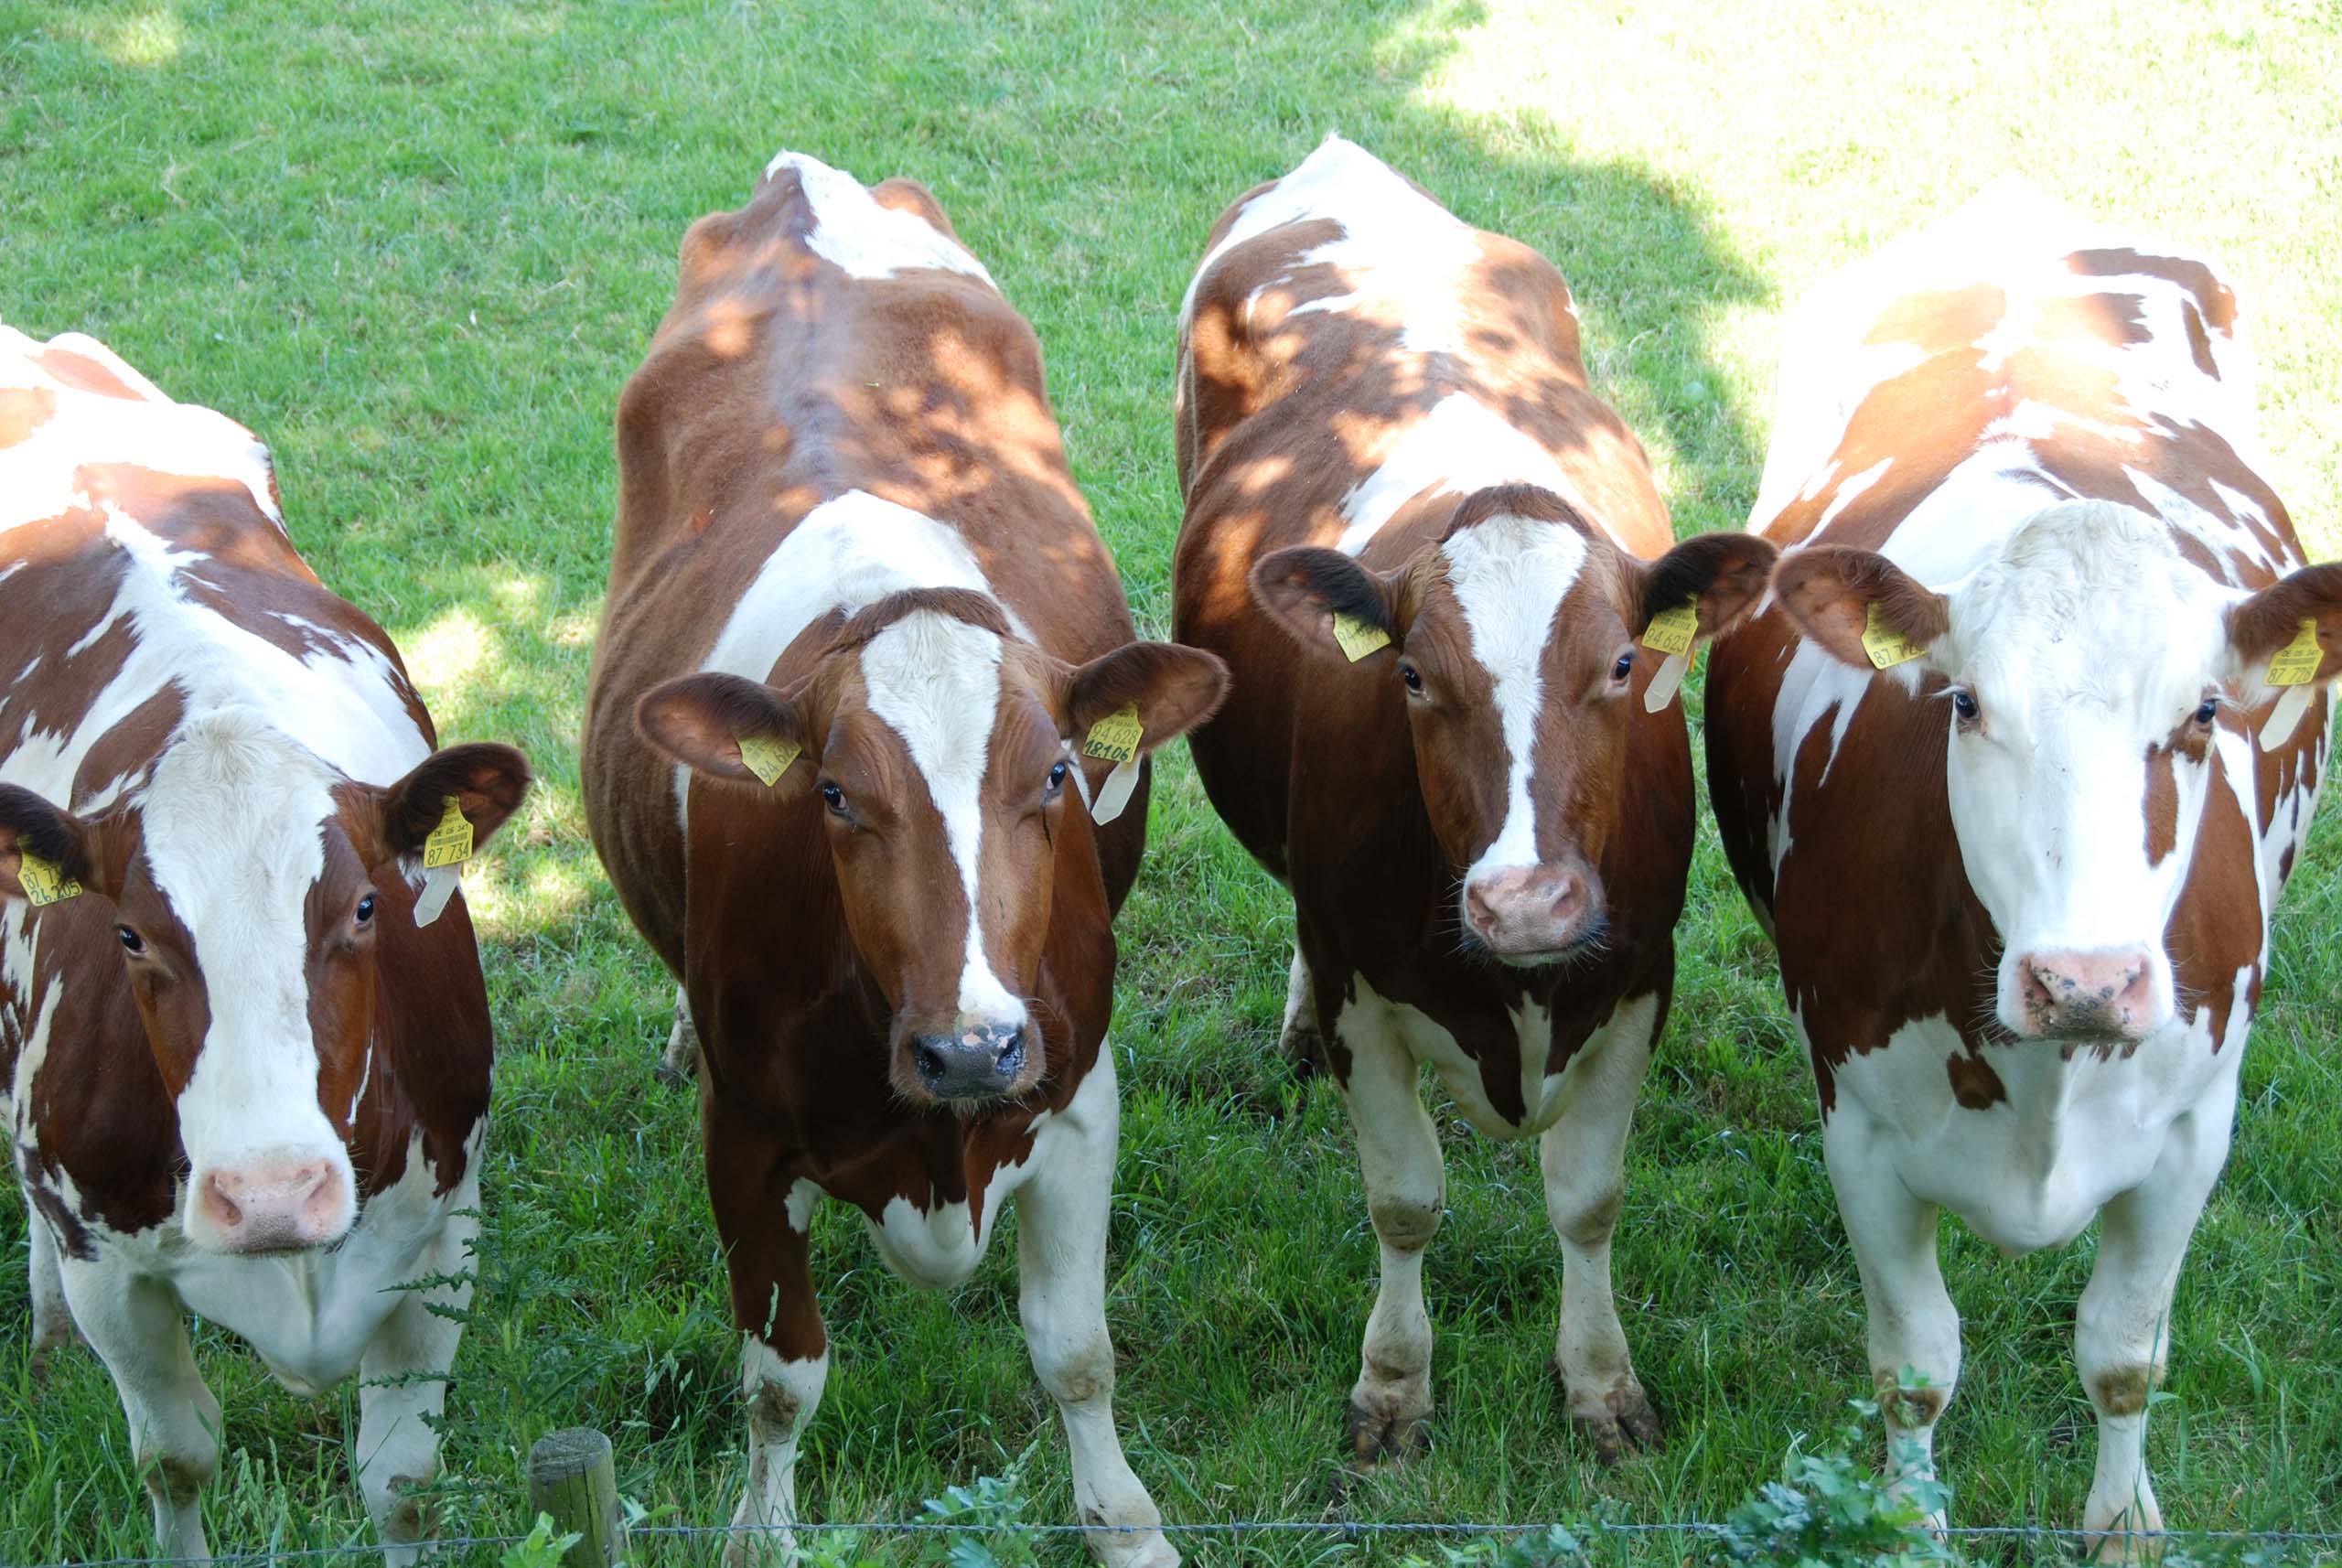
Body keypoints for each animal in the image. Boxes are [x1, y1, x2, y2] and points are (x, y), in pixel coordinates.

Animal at [0, 325, 530, 1562]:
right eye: (129, 934)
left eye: (366, 909)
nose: (274, 1192)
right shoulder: (113, 1275)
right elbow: (177, 1456)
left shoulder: (446, 1238)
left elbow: (402, 1482)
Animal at [580, 150, 1224, 1566]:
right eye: (831, 793)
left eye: (1057, 776)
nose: (971, 1047)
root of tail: (800, 182)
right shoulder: (744, 1138)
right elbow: (781, 1374)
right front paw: (762, 1535)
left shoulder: (1079, 1089)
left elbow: (1076, 1350)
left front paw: (1127, 1525)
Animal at [1171, 137, 1776, 1465]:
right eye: (1409, 673)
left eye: (1622, 663)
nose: (1527, 901)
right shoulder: (1361, 977)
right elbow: (1405, 1199)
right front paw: (1394, 1386)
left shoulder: (1639, 970)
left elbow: (1589, 1200)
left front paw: (1601, 1383)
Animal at [1704, 180, 2337, 1557]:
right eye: (1966, 703)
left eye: (2201, 714)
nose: (2085, 980)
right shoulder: (1860, 1126)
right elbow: (1916, 1364)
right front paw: (1907, 1519)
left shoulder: (2193, 1130)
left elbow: (2123, 1355)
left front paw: (2122, 1520)